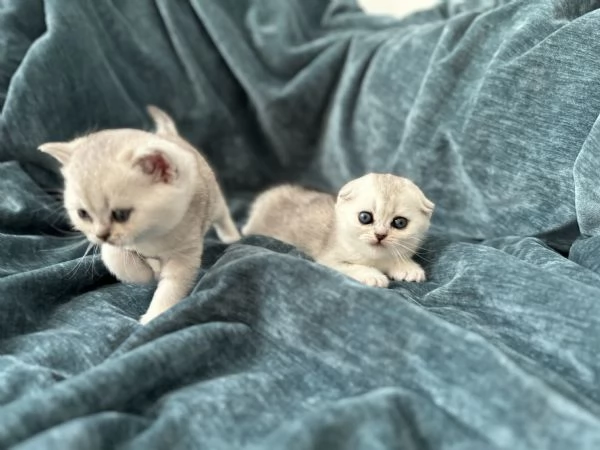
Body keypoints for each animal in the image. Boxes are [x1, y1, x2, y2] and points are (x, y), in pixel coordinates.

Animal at [38, 105, 241, 324]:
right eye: (83, 214)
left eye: (120, 214)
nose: (101, 235)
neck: (150, 237)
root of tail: (168, 135)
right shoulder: (119, 247)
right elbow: (114, 257)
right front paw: (143, 273)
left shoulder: (185, 253)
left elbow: (171, 286)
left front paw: (155, 315)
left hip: (215, 202)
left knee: (223, 214)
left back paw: (231, 236)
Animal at [241, 172, 434, 288]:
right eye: (365, 217)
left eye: (400, 223)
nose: (380, 235)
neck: (375, 259)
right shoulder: (329, 259)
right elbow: (352, 266)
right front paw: (373, 275)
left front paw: (408, 268)